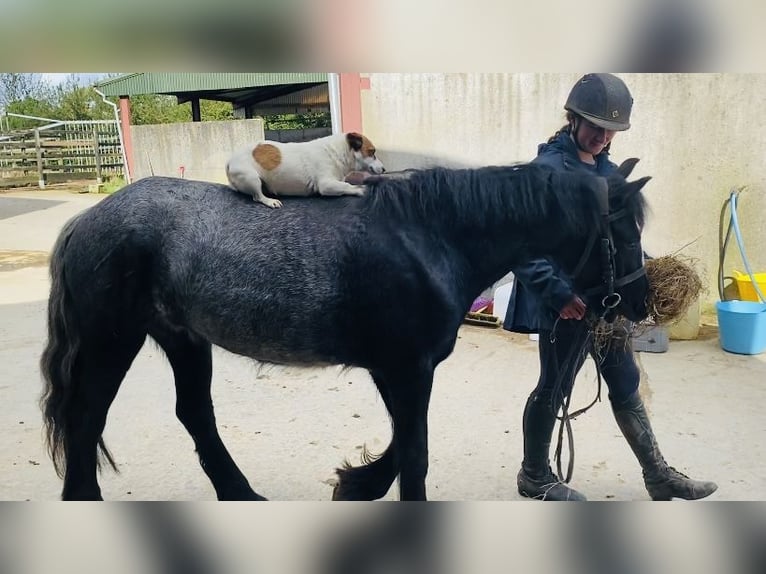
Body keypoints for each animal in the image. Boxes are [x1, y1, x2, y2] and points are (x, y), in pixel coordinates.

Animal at [39, 161, 652, 500]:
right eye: (626, 232)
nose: (642, 303)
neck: (431, 235)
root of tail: (85, 220)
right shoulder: (406, 370)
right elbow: (415, 454)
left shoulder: (401, 371)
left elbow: (404, 445)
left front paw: (355, 484)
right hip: (112, 342)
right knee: (86, 415)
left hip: (183, 339)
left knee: (193, 415)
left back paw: (242, 495)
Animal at [225, 133, 388, 209]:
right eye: (372, 152)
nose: (384, 169)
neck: (336, 151)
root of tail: (230, 160)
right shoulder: (326, 185)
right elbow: (347, 186)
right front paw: (359, 189)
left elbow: (345, 183)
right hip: (252, 178)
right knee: (257, 197)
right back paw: (270, 201)